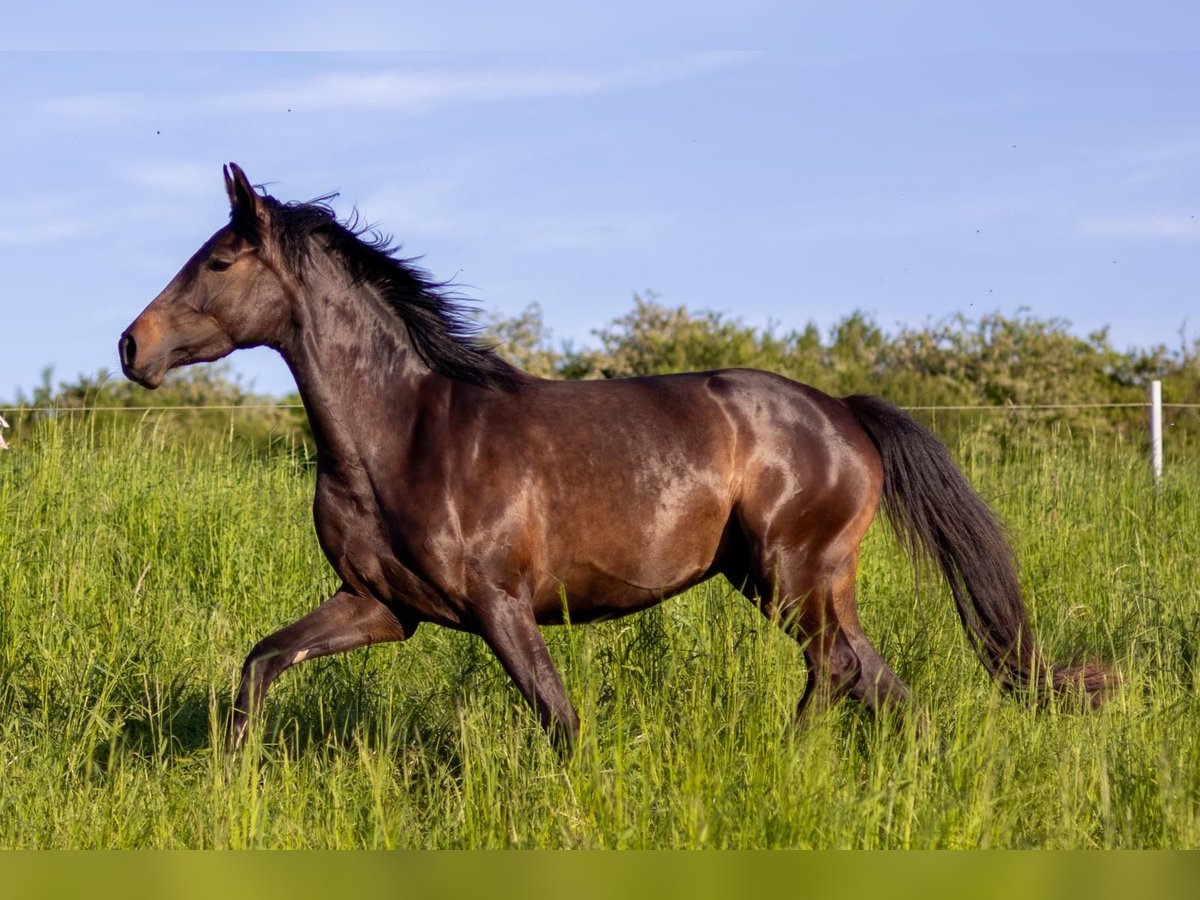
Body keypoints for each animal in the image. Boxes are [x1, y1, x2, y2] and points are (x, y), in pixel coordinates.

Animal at [117, 164, 1108, 753]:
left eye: (217, 262)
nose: (132, 347)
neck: (400, 436)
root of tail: (843, 414)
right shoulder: (382, 607)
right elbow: (261, 664)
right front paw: (234, 781)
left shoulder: (501, 605)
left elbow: (559, 721)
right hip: (790, 581)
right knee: (875, 678)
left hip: (793, 573)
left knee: (841, 673)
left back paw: (788, 764)